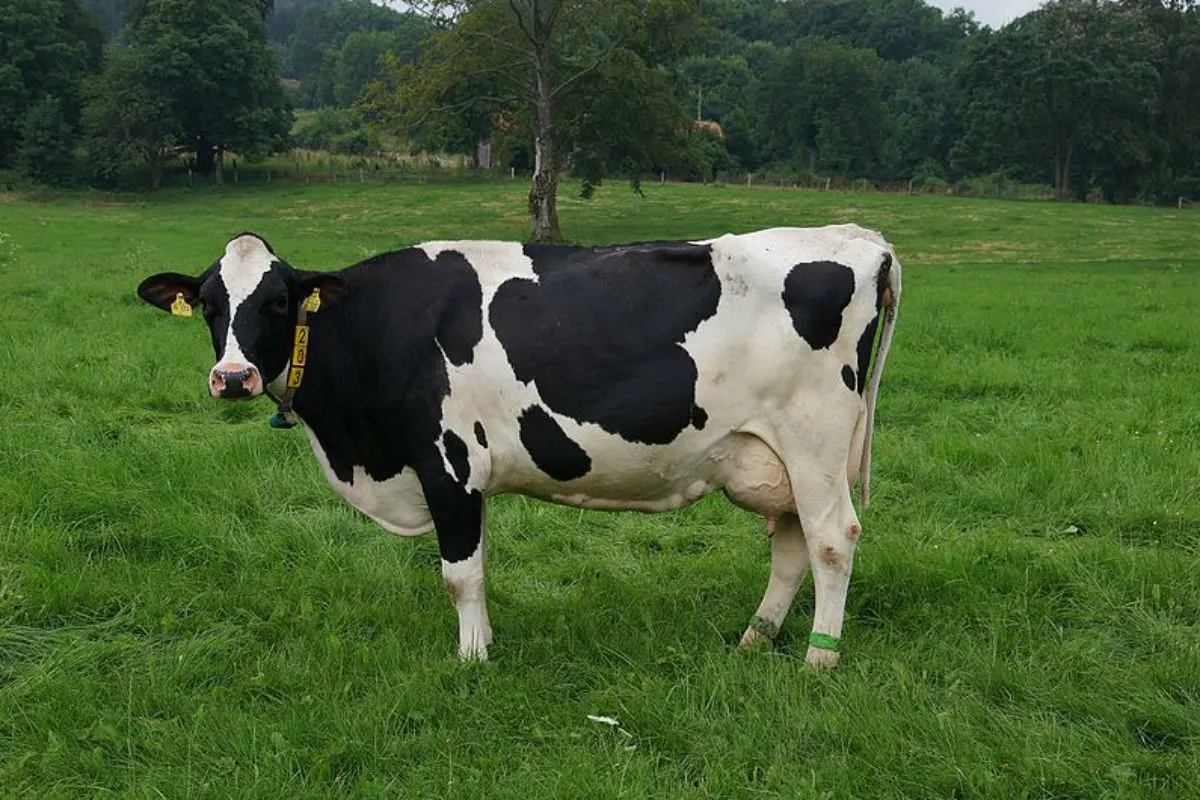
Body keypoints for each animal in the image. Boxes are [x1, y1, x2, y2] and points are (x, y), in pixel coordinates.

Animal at [137, 225, 900, 669]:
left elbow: (460, 574)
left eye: (276, 302)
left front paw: (473, 659)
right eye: (209, 304)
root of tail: (857, 236)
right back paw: (756, 639)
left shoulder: (448, 464)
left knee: (833, 539)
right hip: (772, 457)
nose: (233, 376)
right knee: (792, 542)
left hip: (815, 441)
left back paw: (818, 660)